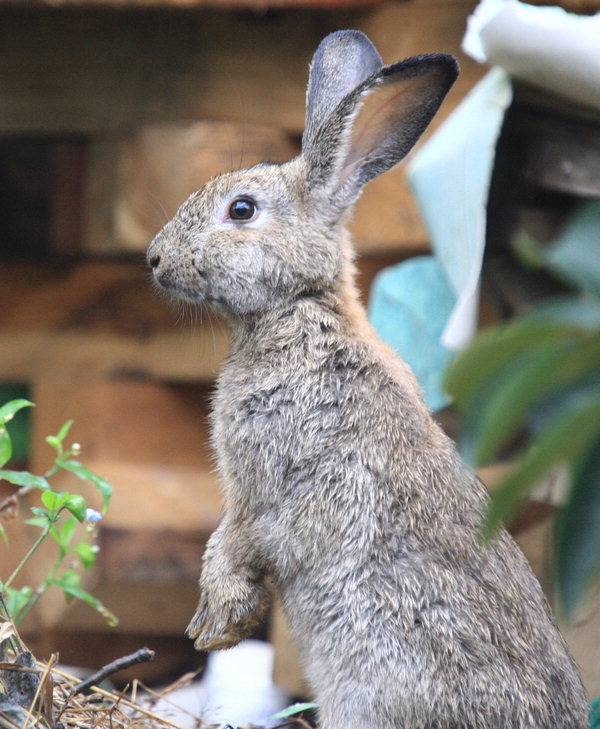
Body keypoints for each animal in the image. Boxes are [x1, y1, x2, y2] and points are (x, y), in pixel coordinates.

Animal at [148, 29, 588, 728]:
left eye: (241, 210)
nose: (154, 258)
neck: (301, 308)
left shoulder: (263, 487)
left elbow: (235, 543)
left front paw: (215, 627)